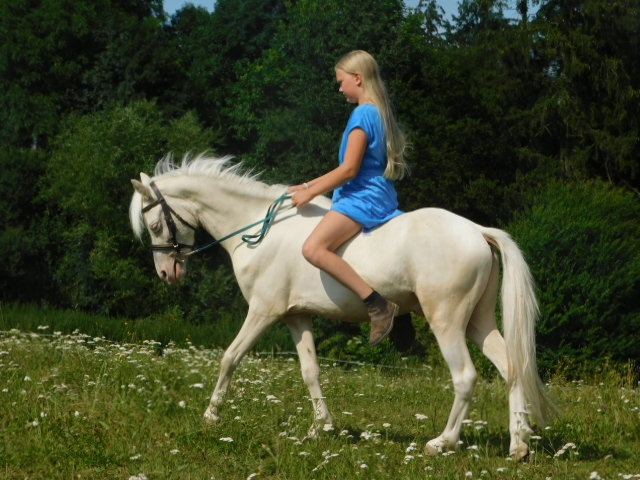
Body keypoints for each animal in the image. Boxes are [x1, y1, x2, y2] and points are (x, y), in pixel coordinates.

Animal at [129, 153, 551, 460]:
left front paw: (211, 416)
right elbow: (310, 371)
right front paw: (321, 427)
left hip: (445, 320)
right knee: (512, 367)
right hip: (477, 321)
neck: (259, 228)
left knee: (465, 377)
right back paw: (518, 445)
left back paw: (442, 442)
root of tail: (477, 230)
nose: (167, 273)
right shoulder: (296, 316)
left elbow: (229, 358)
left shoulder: (263, 312)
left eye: (155, 225)